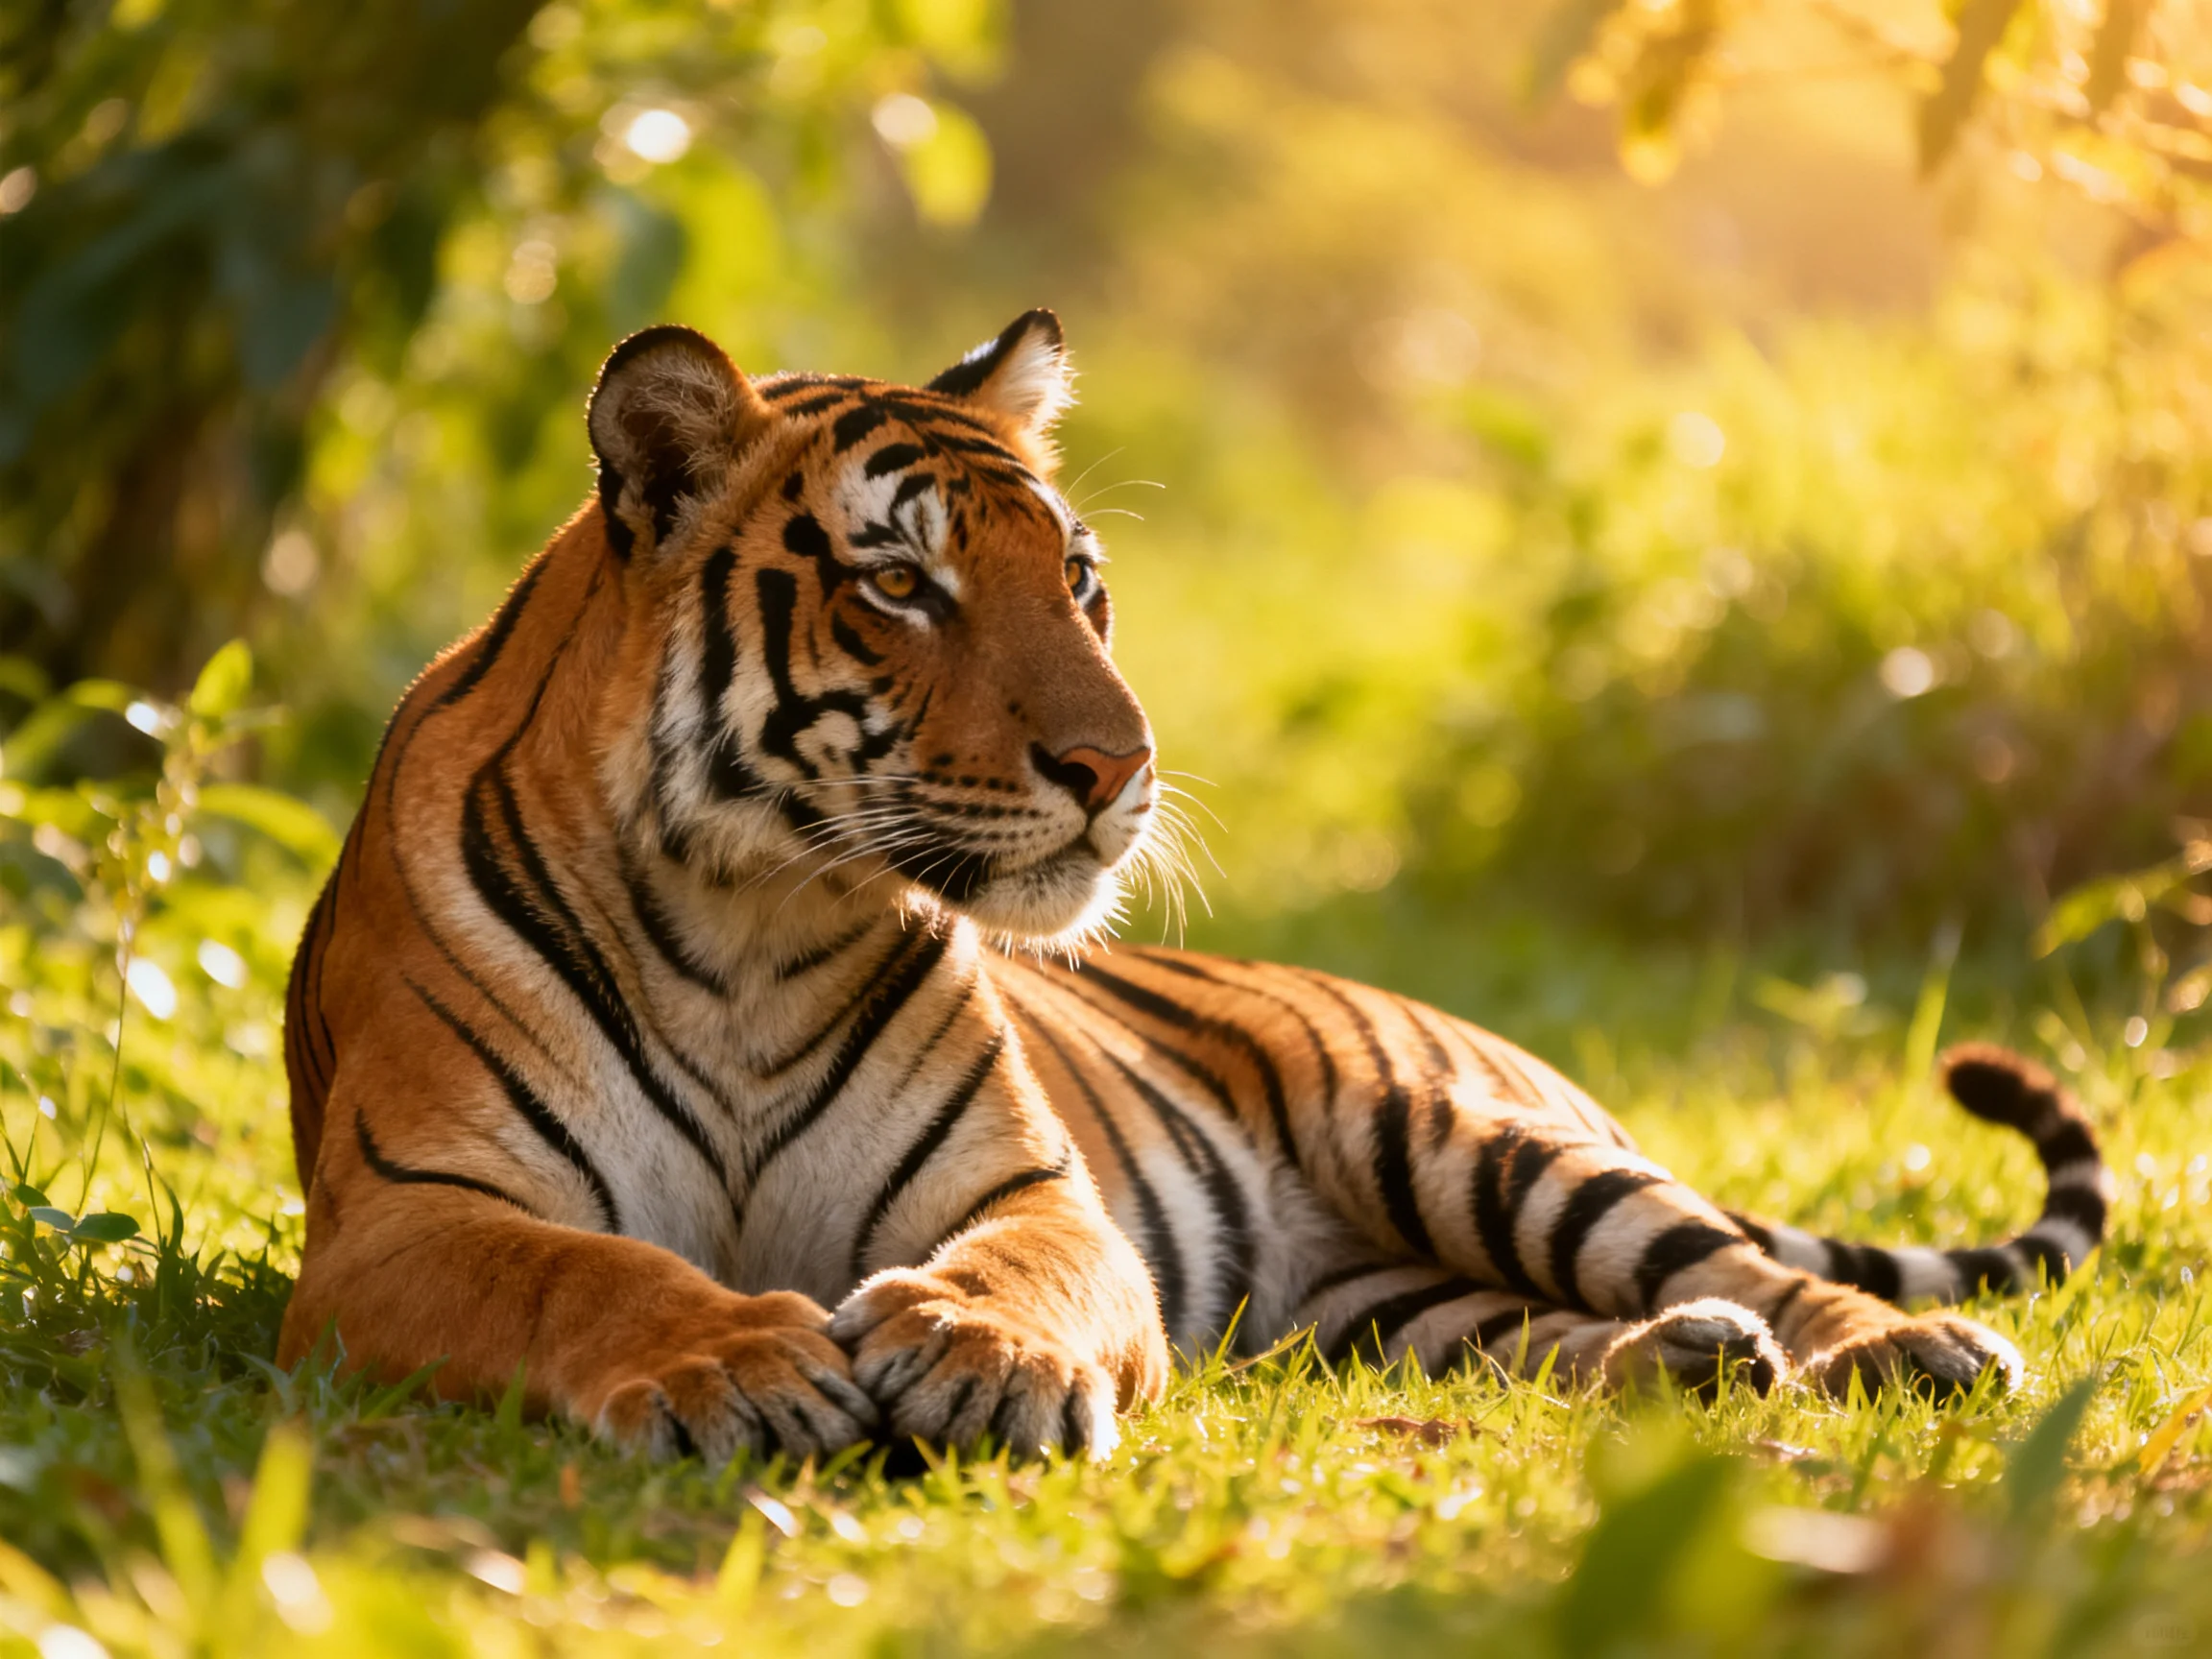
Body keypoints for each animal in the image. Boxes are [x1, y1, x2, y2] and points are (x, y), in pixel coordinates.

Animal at [278, 310, 2112, 1461]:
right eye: (900, 585)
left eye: (1077, 578)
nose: (1119, 764)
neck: (752, 912)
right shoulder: (407, 1214)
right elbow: (584, 1268)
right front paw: (733, 1360)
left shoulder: (1028, 1190)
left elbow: (1020, 1271)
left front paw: (982, 1356)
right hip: (1378, 1309)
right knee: (1550, 1333)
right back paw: (1700, 1362)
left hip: (1458, 1135)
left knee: (1735, 1258)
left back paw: (1894, 1347)